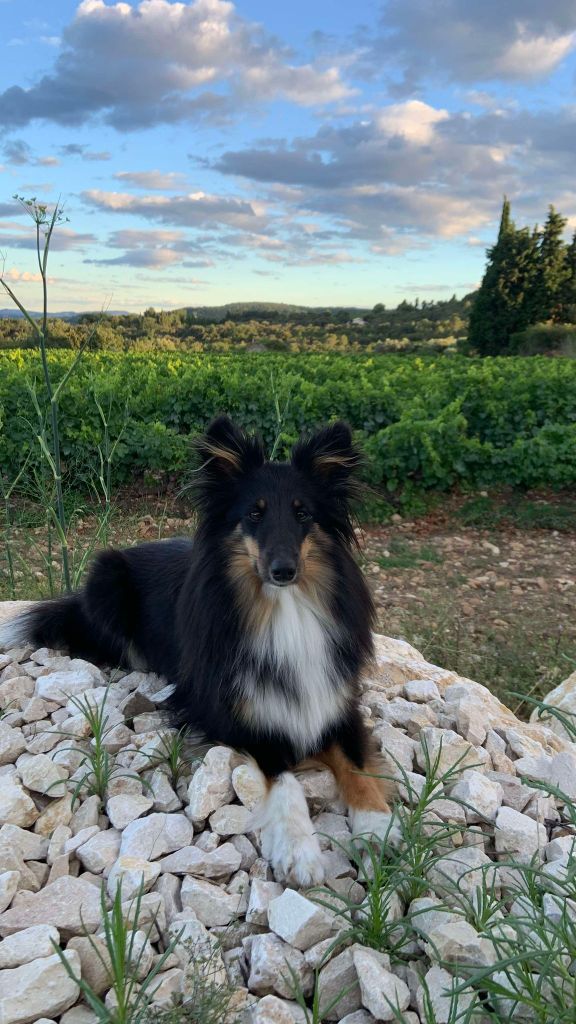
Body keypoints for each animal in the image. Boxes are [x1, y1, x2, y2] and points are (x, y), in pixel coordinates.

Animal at [0, 415, 387, 888]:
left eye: (303, 513)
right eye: (254, 513)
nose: (283, 571)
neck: (281, 609)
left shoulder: (335, 701)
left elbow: (359, 765)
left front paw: (377, 830)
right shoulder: (229, 714)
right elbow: (284, 777)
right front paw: (300, 850)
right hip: (105, 577)